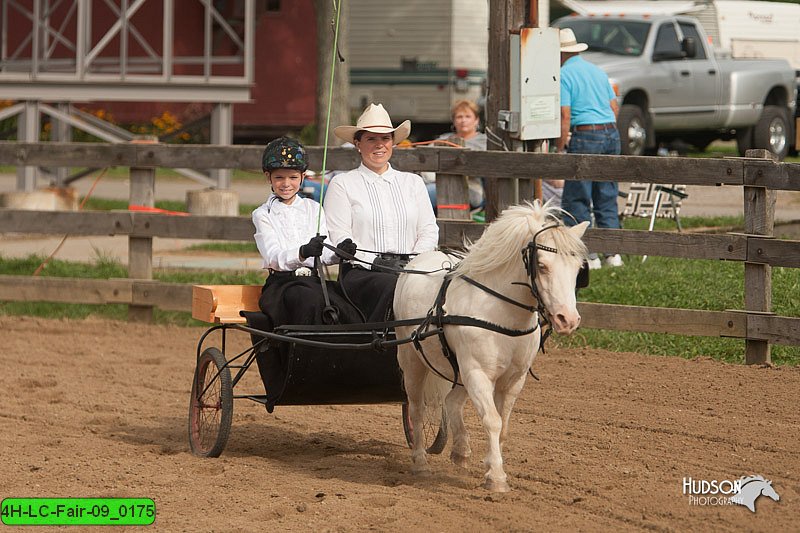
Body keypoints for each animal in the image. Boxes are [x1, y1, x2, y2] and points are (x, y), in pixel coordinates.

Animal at [394, 201, 588, 490]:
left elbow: (504, 425)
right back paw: (420, 463)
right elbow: (492, 421)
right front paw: (496, 476)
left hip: (459, 371)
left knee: (451, 402)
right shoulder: (478, 373)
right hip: (413, 361)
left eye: (577, 269)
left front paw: (489, 465)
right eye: (542, 266)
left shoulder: (513, 379)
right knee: (417, 410)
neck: (502, 314)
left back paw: (460, 450)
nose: (568, 319)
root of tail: (415, 262)